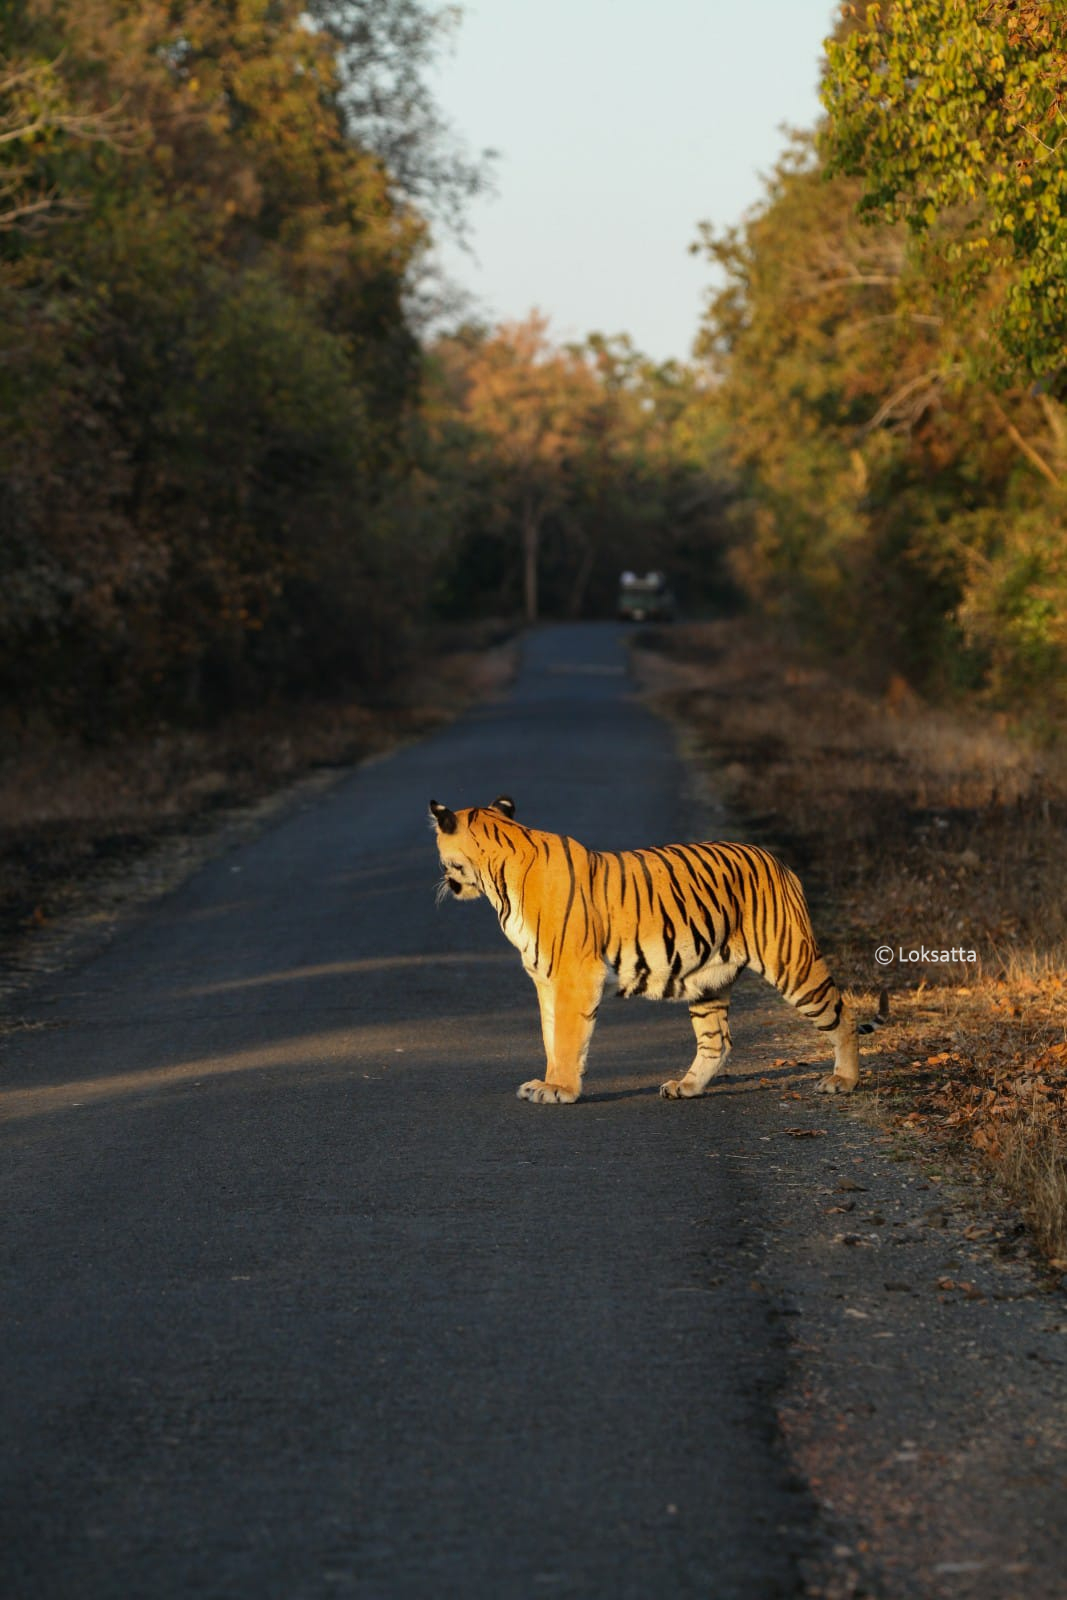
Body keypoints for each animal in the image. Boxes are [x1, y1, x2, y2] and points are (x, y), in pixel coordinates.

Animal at [425, 796, 883, 1107]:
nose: (445, 882)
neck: (496, 880)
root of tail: (779, 863)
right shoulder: (544, 978)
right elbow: (550, 1035)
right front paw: (549, 1082)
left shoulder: (574, 975)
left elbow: (568, 1036)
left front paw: (560, 1089)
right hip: (707, 981)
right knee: (717, 1042)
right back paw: (686, 1086)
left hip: (791, 962)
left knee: (843, 1015)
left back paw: (843, 1081)